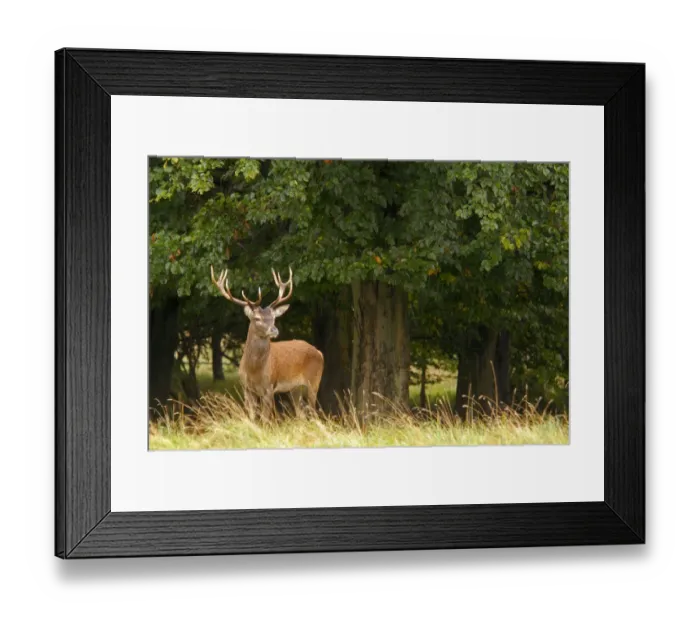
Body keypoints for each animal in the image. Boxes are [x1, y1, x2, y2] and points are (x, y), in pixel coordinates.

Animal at [210, 265, 324, 417]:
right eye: (257, 318)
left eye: (273, 318)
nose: (274, 329)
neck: (254, 370)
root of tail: (319, 352)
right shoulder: (246, 388)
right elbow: (252, 417)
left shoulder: (269, 387)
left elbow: (265, 418)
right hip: (295, 388)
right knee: (301, 415)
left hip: (314, 381)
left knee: (314, 412)